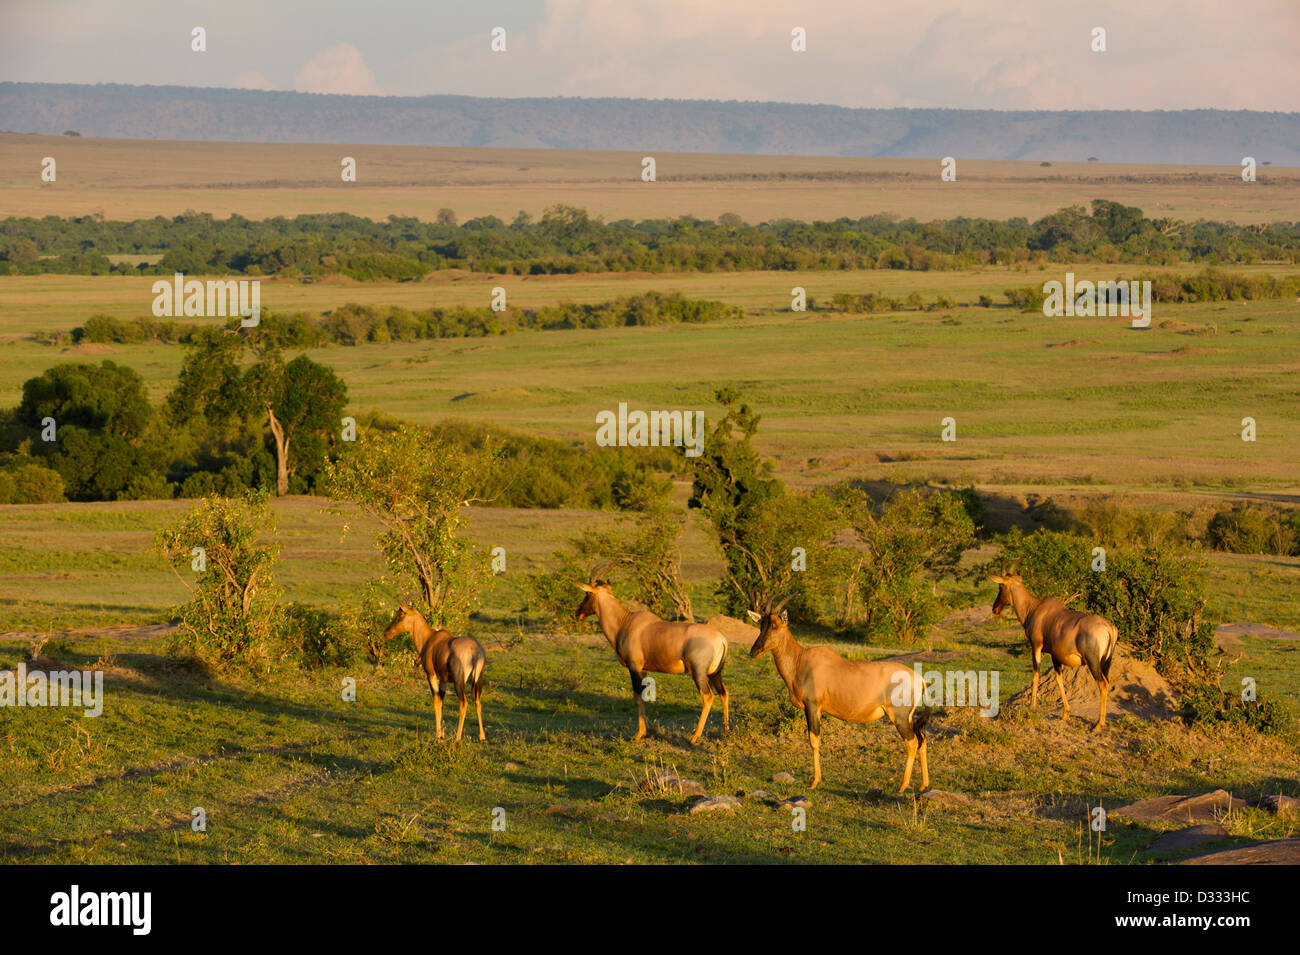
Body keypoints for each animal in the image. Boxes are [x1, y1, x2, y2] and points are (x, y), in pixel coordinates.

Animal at [387, 600, 488, 743]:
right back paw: (482, 737)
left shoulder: (431, 676)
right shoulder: (444, 680)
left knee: (464, 703)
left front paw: (438, 735)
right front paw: (441, 735)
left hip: (459, 682)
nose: (387, 632)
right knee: (477, 702)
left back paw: (457, 738)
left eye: (400, 615)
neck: (430, 638)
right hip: (478, 680)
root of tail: (475, 650)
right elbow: (442, 702)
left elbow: (436, 701)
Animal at [572, 582, 728, 748]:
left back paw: (694, 737)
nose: (578, 613)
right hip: (714, 673)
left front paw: (639, 735)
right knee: (723, 693)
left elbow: (637, 697)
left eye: (587, 594)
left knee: (708, 697)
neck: (625, 622)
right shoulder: (643, 670)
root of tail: (721, 639)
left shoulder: (634, 667)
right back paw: (726, 731)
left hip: (698, 673)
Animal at [748, 608, 930, 795]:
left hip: (899, 717)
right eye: (761, 624)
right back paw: (923, 785)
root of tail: (920, 679)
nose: (754, 651)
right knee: (922, 739)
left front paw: (815, 782)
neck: (801, 659)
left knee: (912, 742)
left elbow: (814, 741)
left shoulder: (812, 706)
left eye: (775, 625)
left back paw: (902, 786)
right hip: (909, 718)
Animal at [982, 563, 1118, 727]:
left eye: (1000, 586)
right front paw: (1065, 714)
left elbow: (1036, 674)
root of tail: (1108, 627)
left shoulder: (1036, 646)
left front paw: (1032, 708)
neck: (1035, 607)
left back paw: (1099, 724)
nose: (994, 609)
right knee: (1107, 683)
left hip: (1093, 662)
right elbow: (1059, 680)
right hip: (1106, 663)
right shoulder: (1055, 655)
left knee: (1102, 685)